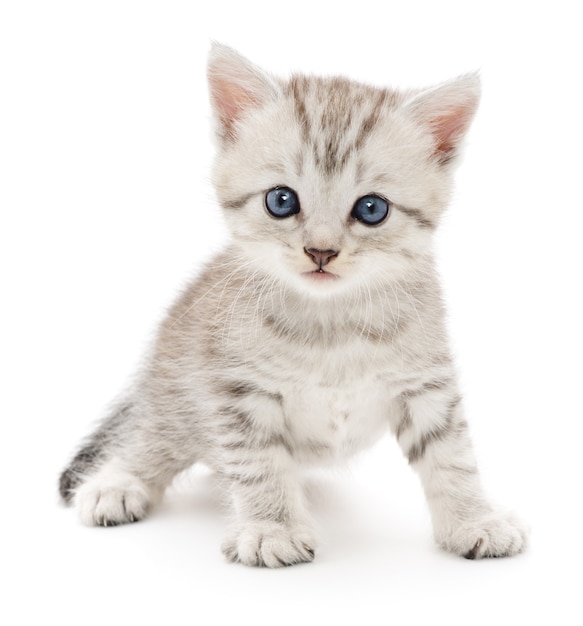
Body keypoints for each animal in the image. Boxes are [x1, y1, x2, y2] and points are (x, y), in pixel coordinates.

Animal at [59, 44, 528, 564]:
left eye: (372, 209)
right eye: (281, 201)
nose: (321, 251)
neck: (332, 324)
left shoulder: (426, 383)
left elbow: (451, 455)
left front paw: (474, 519)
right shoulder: (238, 390)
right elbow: (259, 461)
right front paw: (271, 527)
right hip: (177, 396)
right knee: (149, 438)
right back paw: (117, 483)